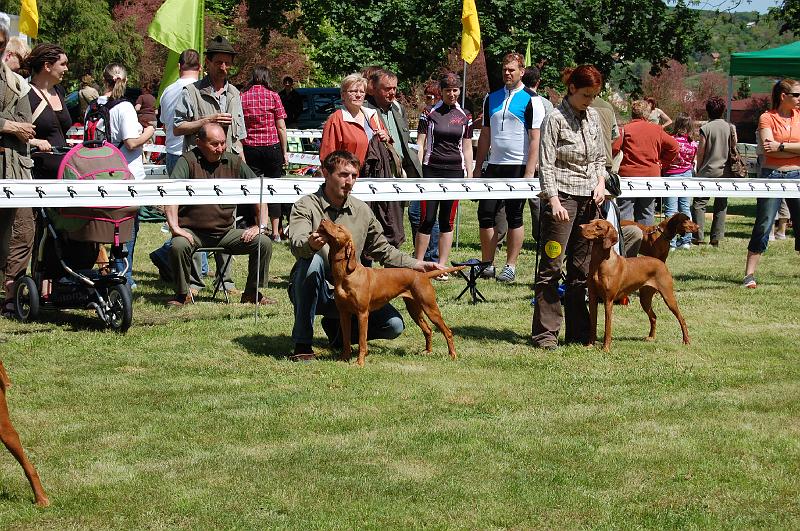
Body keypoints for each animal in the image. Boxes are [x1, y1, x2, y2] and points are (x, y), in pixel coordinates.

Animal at [318, 218, 462, 368]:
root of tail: (422, 275)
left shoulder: (362, 314)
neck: (347, 274)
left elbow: (362, 341)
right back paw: (428, 351)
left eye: (339, 227)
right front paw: (344, 358)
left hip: (430, 308)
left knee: (448, 331)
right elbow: (346, 339)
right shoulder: (344, 313)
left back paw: (452, 355)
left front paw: (360, 362)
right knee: (428, 330)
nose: (323, 219)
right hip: (414, 310)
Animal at [580, 220, 692, 354]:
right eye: (590, 222)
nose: (580, 226)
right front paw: (590, 345)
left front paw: (606, 348)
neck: (600, 262)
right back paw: (651, 337)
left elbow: (608, 327)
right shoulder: (592, 298)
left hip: (668, 296)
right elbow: (593, 323)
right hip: (644, 298)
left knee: (682, 318)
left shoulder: (608, 301)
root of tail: (660, 262)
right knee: (653, 316)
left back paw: (686, 341)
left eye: (598, 227)